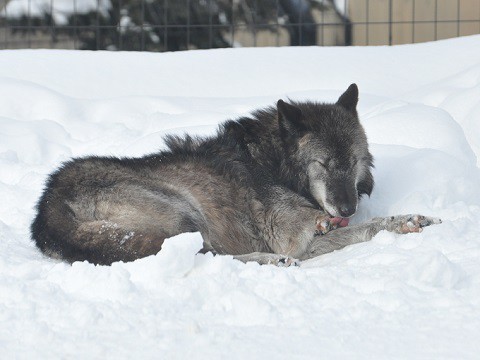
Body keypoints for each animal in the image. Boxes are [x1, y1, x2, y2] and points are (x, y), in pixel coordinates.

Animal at [31, 83, 440, 266]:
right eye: (322, 164)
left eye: (353, 161)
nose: (346, 208)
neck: (273, 163)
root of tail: (47, 210)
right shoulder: (297, 240)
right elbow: (366, 229)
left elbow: (373, 224)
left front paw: (413, 219)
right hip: (182, 212)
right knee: (207, 256)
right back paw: (273, 263)